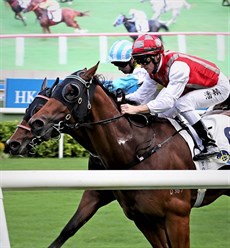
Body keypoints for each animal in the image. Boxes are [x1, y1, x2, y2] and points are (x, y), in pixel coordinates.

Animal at [28, 63, 230, 247]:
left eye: (72, 91)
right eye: (54, 92)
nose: (36, 122)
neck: (138, 151)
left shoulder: (177, 215)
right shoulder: (143, 218)